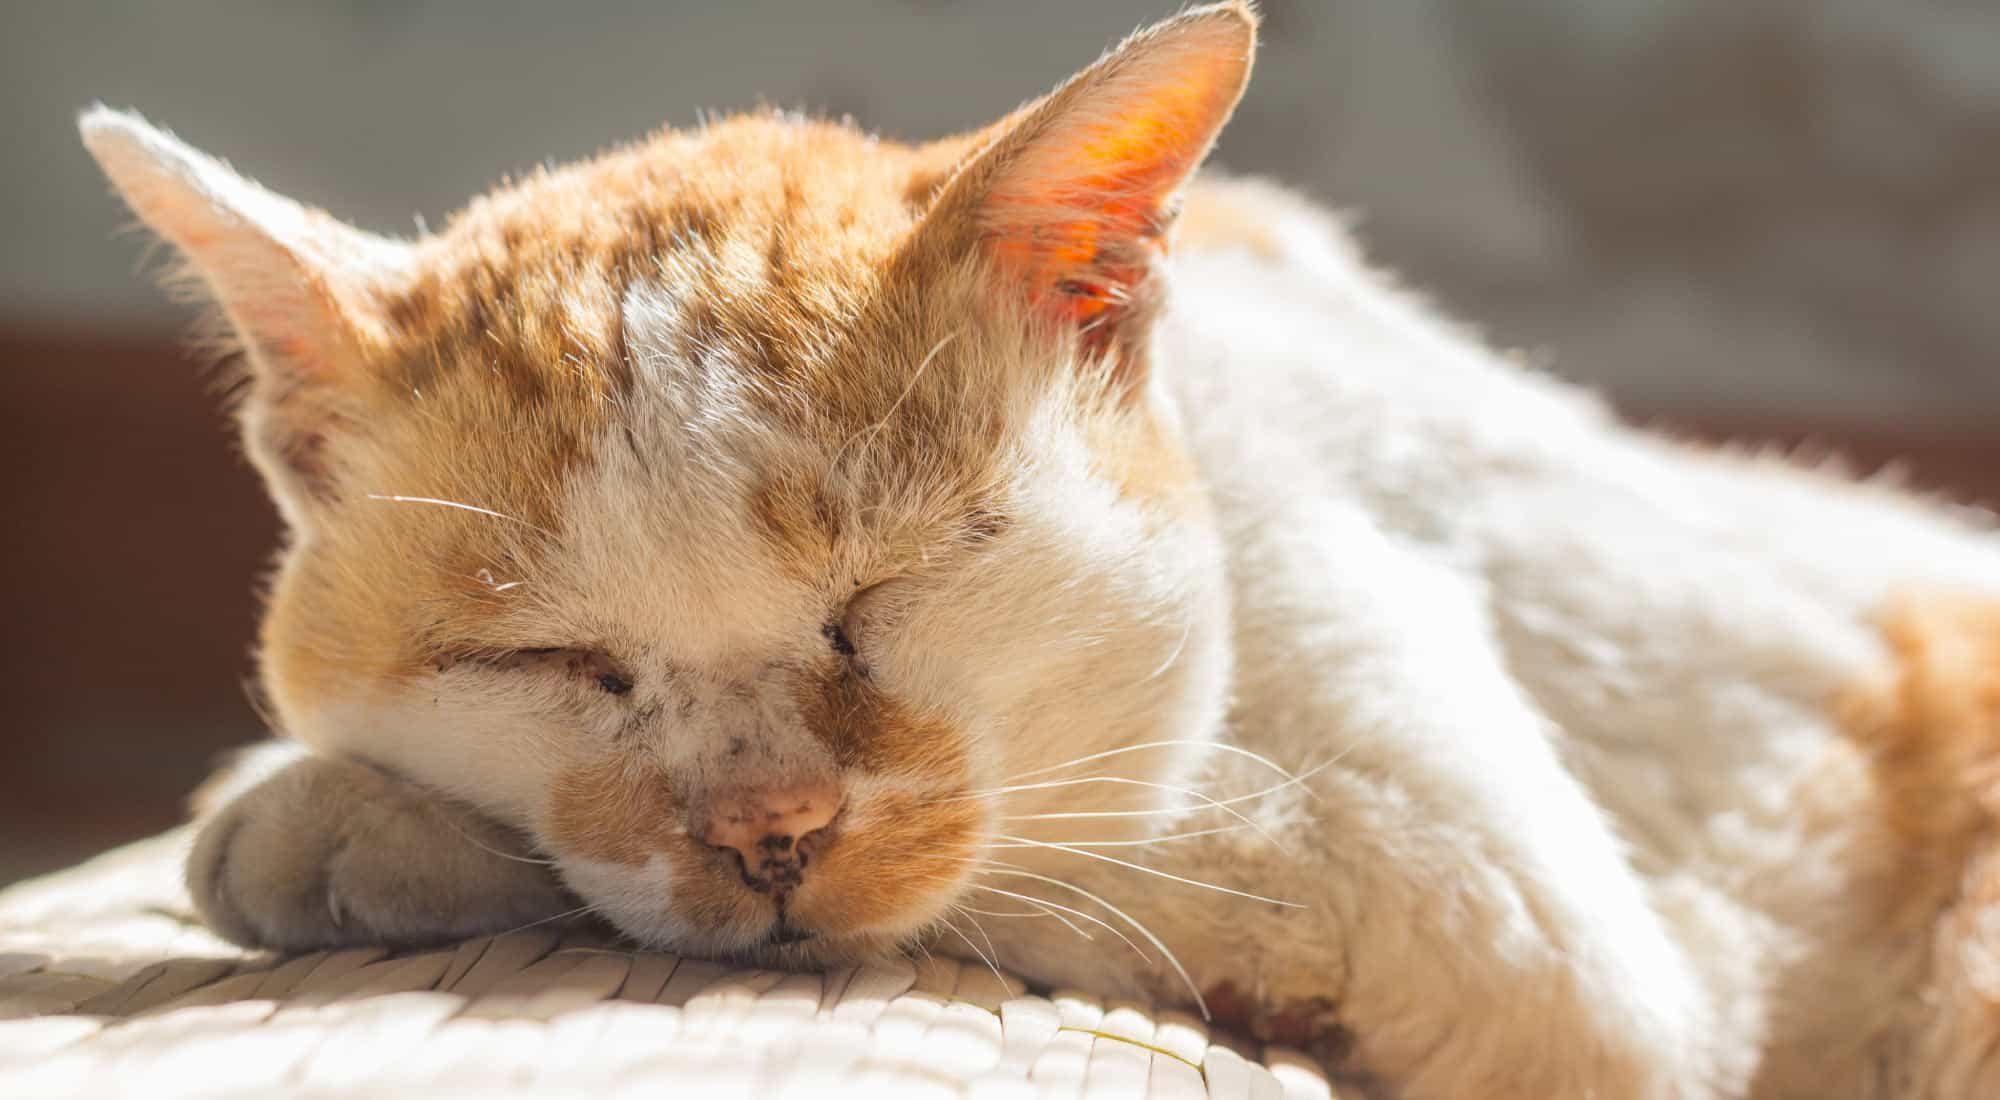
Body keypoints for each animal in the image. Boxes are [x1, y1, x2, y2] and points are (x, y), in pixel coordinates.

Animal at [70, 6, 2000, 1100]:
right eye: (555, 663)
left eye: (882, 600)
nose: (768, 830)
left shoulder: (1526, 937)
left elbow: (1033, 853)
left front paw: (318, 819)